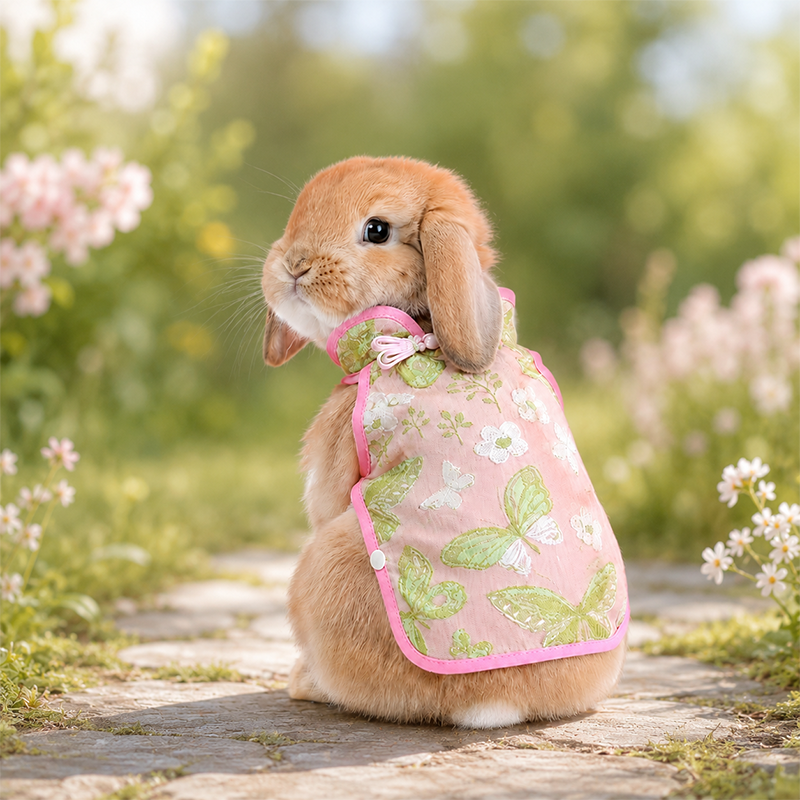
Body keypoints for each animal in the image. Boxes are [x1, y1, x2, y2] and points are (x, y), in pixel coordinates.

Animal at [261, 156, 627, 728]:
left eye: (377, 230)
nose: (293, 265)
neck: (419, 332)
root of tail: (494, 703)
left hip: (322, 561)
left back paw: (303, 684)